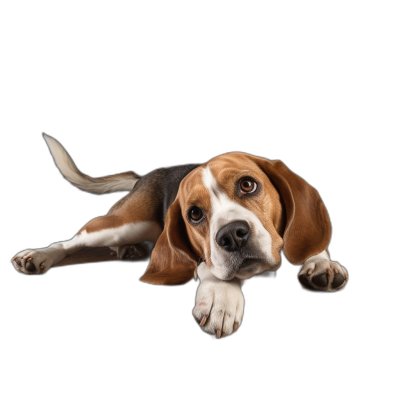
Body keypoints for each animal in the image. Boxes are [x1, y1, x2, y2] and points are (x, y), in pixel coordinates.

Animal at [10, 134, 348, 338]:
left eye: (248, 185)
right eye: (194, 214)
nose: (232, 236)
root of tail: (148, 175)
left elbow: (312, 247)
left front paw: (321, 265)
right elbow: (209, 269)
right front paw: (221, 297)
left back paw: (130, 251)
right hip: (119, 224)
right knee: (70, 244)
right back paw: (37, 256)